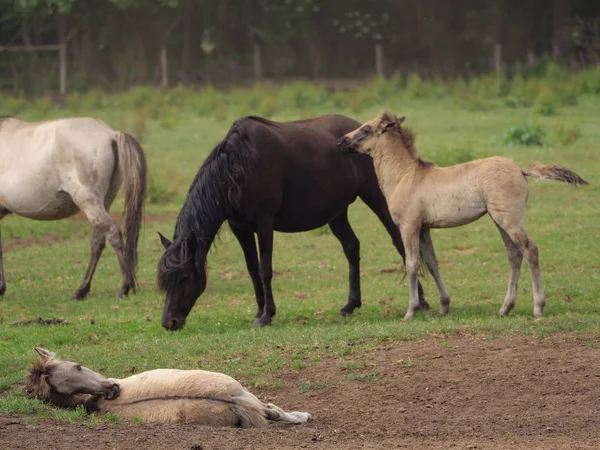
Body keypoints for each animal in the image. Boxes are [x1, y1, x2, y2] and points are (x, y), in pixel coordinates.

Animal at [0, 116, 146, 298]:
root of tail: (110, 134)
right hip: (102, 203)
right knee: (98, 242)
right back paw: (82, 289)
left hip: (88, 201)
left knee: (113, 234)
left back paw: (124, 287)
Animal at [157, 114, 428, 328]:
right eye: (165, 281)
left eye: (184, 278)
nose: (169, 323)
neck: (238, 165)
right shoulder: (240, 228)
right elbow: (252, 269)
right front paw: (259, 312)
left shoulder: (264, 224)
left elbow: (265, 269)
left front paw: (267, 315)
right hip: (337, 214)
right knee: (352, 248)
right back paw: (350, 305)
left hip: (376, 200)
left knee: (400, 243)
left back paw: (422, 301)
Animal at [340, 111, 588, 320]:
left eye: (365, 129)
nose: (341, 142)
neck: (405, 176)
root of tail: (520, 169)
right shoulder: (424, 227)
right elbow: (432, 263)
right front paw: (444, 306)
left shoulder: (409, 226)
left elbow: (411, 265)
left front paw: (410, 311)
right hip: (499, 220)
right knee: (514, 254)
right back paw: (505, 308)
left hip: (509, 219)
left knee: (530, 250)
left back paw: (538, 307)